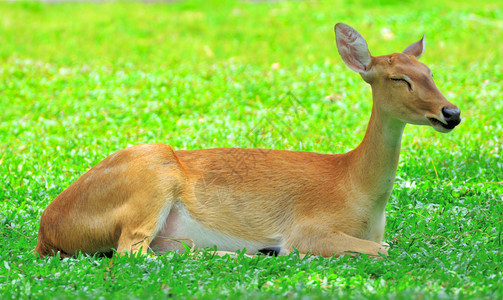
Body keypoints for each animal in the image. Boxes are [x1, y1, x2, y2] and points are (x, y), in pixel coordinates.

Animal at [34, 22, 460, 258]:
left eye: (429, 71)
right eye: (398, 78)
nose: (451, 113)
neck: (357, 191)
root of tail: (46, 231)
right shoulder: (307, 226)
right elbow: (382, 249)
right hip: (150, 181)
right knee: (131, 252)